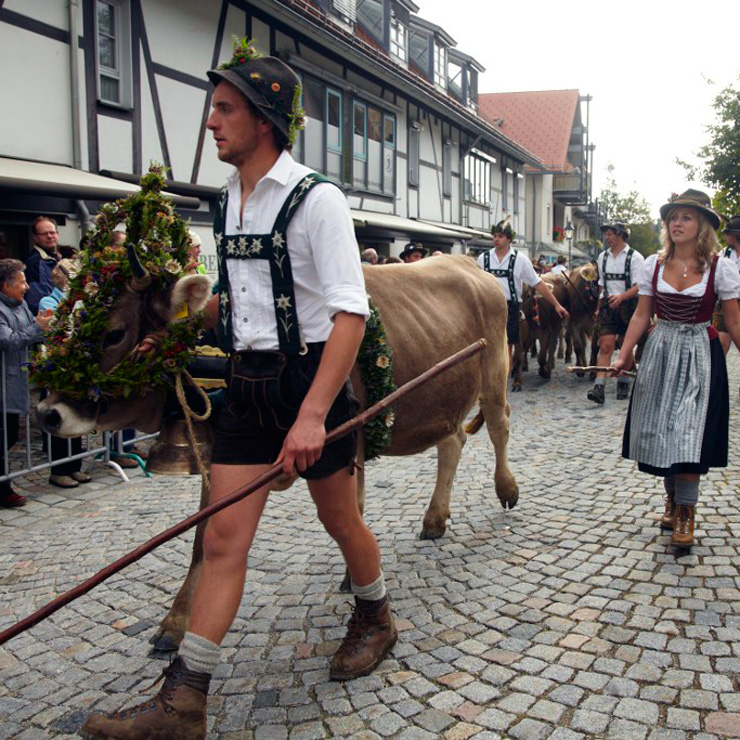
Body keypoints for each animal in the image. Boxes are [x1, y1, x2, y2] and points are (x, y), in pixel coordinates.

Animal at [37, 253, 516, 652]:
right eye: (70, 323)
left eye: (114, 332)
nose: (47, 413)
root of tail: (466, 262)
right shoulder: (223, 457)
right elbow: (203, 540)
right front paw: (174, 624)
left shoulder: (349, 442)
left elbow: (355, 511)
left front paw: (354, 576)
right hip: (440, 401)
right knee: (452, 442)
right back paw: (434, 520)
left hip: (494, 374)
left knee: (498, 428)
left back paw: (506, 490)